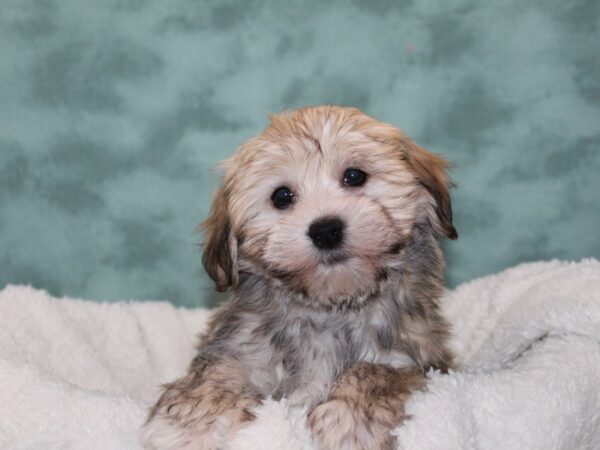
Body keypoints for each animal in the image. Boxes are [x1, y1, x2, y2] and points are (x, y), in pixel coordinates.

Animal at [141, 106, 458, 450]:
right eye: (282, 196)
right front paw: (192, 424)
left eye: (354, 176)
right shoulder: (243, 346)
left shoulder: (423, 358)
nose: (326, 230)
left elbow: (381, 372)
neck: (330, 307)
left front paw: (351, 420)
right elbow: (217, 369)